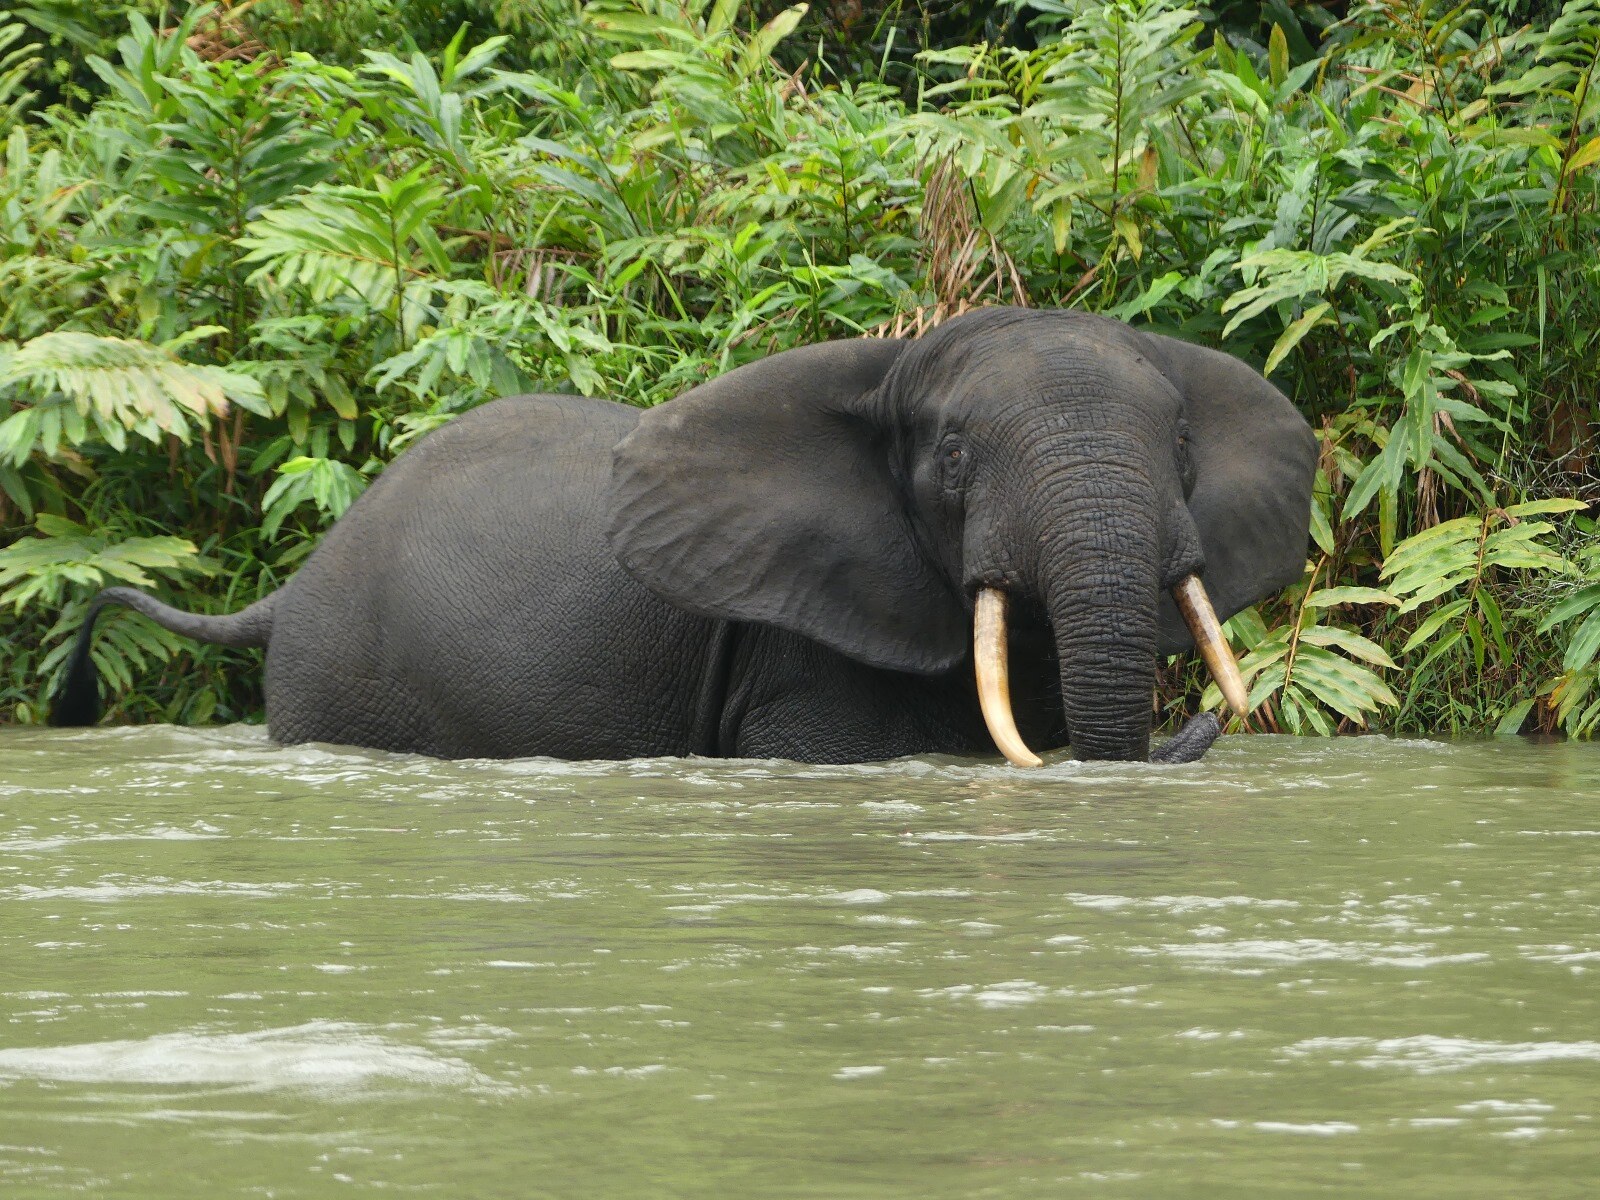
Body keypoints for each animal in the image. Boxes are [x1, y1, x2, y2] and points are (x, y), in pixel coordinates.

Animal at [56, 305, 1318, 764]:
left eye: (1182, 449)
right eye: (955, 461)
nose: (1198, 722)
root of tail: (292, 580)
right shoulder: (800, 647)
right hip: (337, 683)